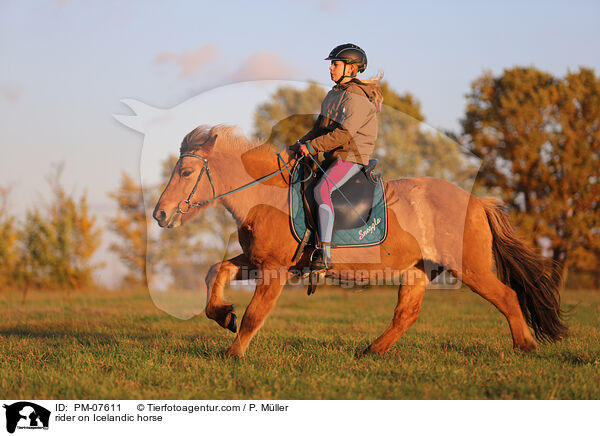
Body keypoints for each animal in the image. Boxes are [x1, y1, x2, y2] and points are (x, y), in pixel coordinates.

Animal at [152, 125, 564, 358]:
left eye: (185, 172)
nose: (160, 214)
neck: (266, 196)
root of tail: (477, 202)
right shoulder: (258, 260)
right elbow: (215, 271)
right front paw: (223, 314)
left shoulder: (274, 269)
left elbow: (255, 314)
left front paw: (233, 353)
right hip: (418, 271)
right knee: (406, 315)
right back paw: (370, 352)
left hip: (470, 269)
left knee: (507, 297)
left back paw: (526, 346)